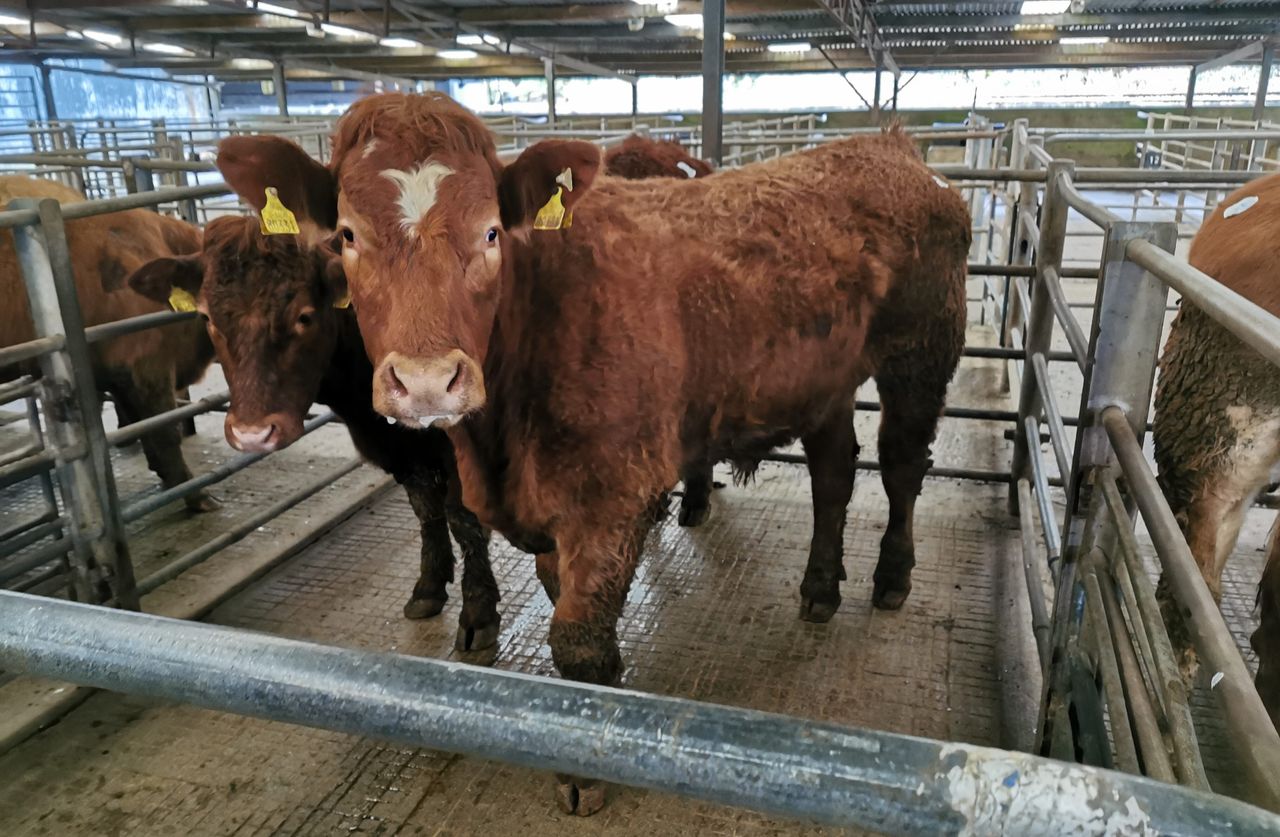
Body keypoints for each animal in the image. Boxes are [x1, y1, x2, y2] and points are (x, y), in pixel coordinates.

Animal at [124, 206, 505, 653]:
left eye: (304, 315)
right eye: (206, 316)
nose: (253, 433)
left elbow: (463, 517)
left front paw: (478, 613)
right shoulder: (397, 448)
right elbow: (427, 509)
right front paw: (428, 587)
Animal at [217, 91, 970, 813]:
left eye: (491, 231)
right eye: (347, 235)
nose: (427, 380)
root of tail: (890, 148)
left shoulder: (613, 495)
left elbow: (574, 637)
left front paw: (585, 767)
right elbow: (561, 608)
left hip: (924, 349)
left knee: (900, 465)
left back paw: (891, 576)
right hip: (826, 380)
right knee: (833, 471)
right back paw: (819, 586)